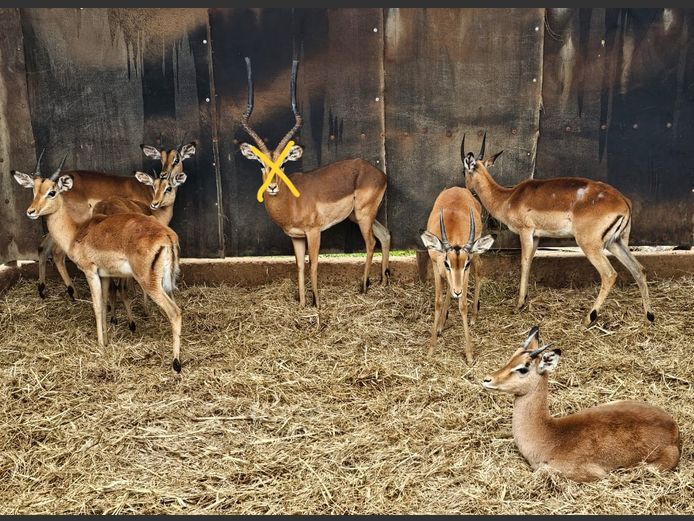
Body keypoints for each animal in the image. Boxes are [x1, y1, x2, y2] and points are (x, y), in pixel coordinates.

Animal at [13, 154, 183, 373]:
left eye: (52, 191)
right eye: (34, 190)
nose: (31, 211)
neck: (76, 233)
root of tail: (168, 236)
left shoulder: (90, 272)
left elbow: (96, 306)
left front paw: (101, 345)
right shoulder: (104, 276)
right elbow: (104, 304)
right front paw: (108, 340)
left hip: (149, 282)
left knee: (175, 312)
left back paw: (176, 363)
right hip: (167, 281)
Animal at [238, 57, 391, 308]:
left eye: (283, 164)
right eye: (261, 163)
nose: (272, 187)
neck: (291, 202)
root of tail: (378, 172)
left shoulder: (314, 232)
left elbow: (314, 265)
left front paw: (317, 304)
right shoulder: (296, 237)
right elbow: (299, 266)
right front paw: (301, 305)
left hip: (363, 215)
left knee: (371, 243)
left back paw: (364, 287)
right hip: (357, 215)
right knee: (385, 234)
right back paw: (384, 281)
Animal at [420, 187, 494, 362]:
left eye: (466, 264)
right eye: (447, 263)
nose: (458, 292)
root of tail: (458, 188)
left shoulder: (466, 272)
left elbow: (462, 305)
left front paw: (469, 355)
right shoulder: (436, 266)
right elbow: (438, 302)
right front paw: (431, 349)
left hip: (476, 255)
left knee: (479, 271)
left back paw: (474, 317)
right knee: (449, 288)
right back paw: (441, 325)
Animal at [461, 132, 654, 326]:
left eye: (464, 170)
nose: (466, 189)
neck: (508, 198)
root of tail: (624, 202)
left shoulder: (526, 232)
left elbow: (523, 263)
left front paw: (519, 304)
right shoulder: (536, 236)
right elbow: (530, 264)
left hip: (590, 245)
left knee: (609, 274)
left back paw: (588, 318)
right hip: (616, 242)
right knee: (639, 269)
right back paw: (649, 316)